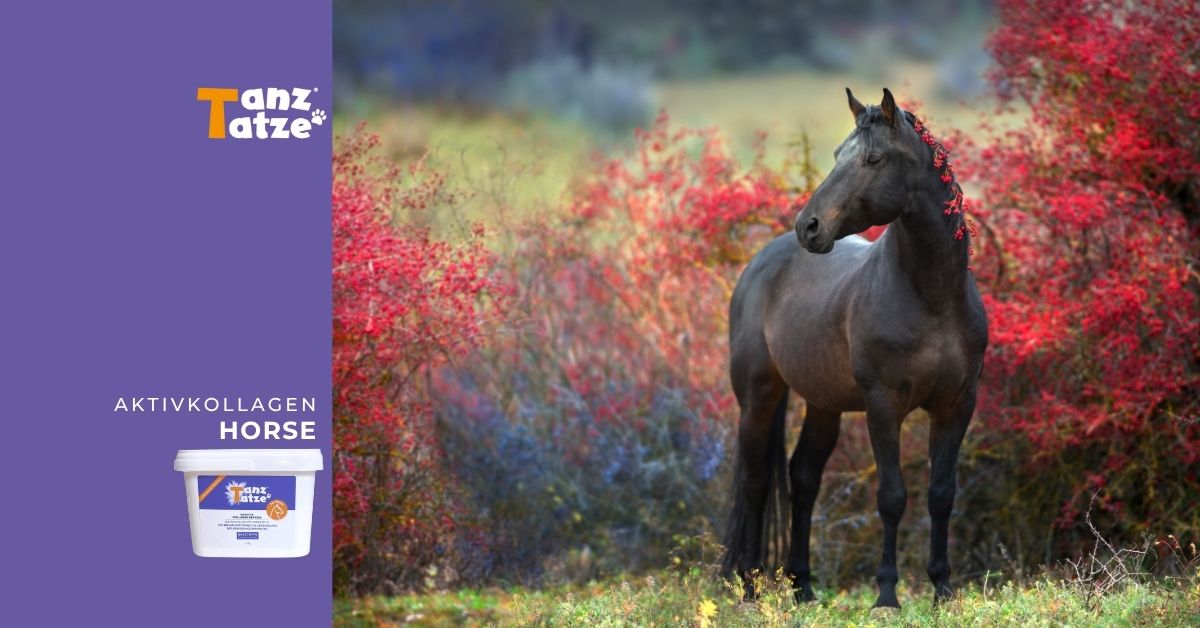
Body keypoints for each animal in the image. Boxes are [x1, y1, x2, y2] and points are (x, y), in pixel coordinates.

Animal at [721, 88, 988, 608]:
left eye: (873, 158)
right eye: (835, 155)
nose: (809, 226)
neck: (932, 297)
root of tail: (762, 261)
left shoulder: (956, 405)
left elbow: (941, 494)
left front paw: (942, 588)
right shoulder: (883, 406)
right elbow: (892, 497)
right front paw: (886, 595)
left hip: (823, 403)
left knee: (803, 477)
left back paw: (803, 587)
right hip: (759, 397)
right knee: (755, 482)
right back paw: (749, 587)